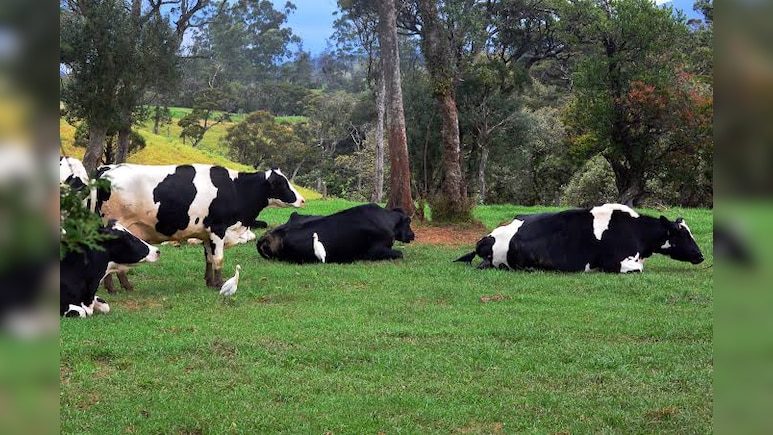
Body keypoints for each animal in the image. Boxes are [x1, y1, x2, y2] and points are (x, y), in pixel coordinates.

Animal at [97, 164, 305, 287]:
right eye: (282, 183)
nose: (302, 200)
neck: (235, 189)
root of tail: (107, 169)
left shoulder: (206, 233)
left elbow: (209, 258)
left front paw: (209, 281)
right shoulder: (218, 229)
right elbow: (219, 259)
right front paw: (219, 284)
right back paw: (117, 287)